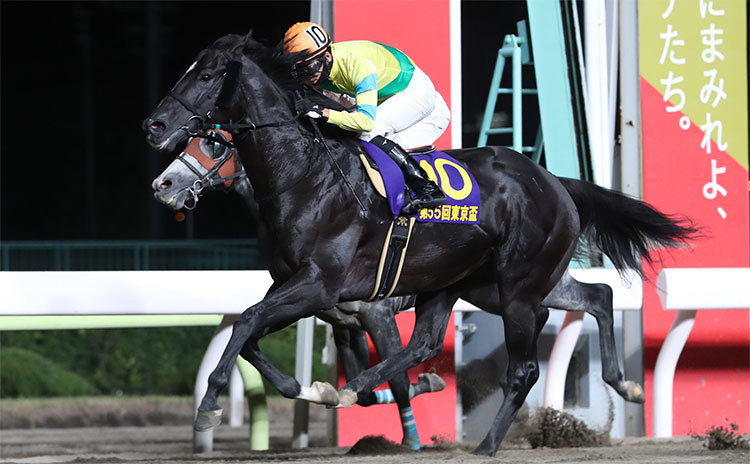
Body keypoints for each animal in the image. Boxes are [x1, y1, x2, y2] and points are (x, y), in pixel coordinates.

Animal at [142, 33, 700, 456]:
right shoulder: (308, 293)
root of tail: (552, 180)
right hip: (478, 284)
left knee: (523, 366)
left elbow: (249, 323)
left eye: (208, 78)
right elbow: (250, 333)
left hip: (518, 286)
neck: (303, 176)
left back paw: (486, 445)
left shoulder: (325, 287)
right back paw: (623, 384)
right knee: (573, 303)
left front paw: (209, 406)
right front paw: (309, 388)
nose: (155, 127)